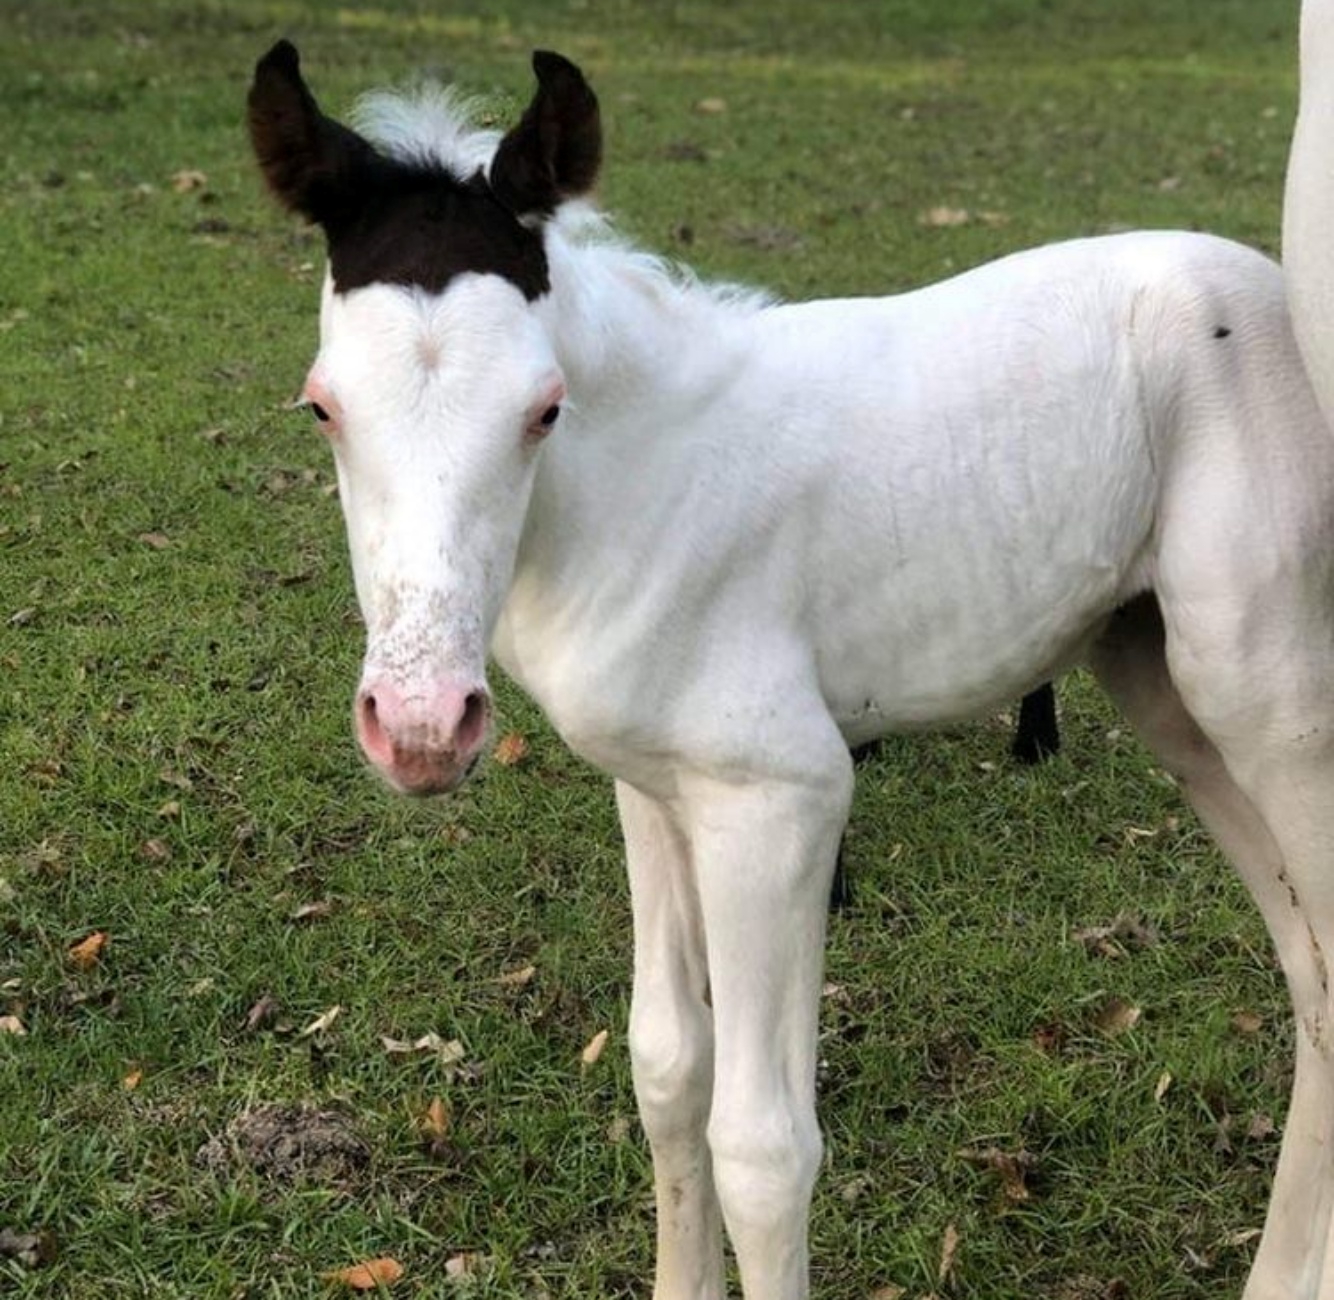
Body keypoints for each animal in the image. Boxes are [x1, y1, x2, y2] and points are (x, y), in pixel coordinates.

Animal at [250, 2, 1334, 1290]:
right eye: (323, 405)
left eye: (544, 406)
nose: (421, 725)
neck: (648, 482)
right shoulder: (655, 788)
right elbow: (667, 1068)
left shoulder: (779, 796)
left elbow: (762, 1150)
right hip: (1159, 681)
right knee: (1309, 973)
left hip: (1269, 690)